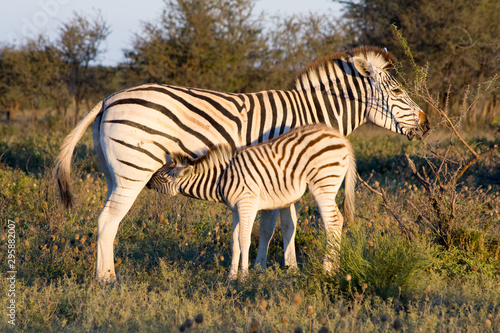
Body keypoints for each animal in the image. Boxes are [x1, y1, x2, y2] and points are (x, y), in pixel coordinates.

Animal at [152, 124, 356, 280]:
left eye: (162, 176)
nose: (147, 183)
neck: (221, 179)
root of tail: (341, 138)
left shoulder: (246, 204)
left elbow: (245, 240)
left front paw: (244, 277)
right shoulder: (235, 209)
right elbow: (234, 242)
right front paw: (231, 277)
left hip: (323, 184)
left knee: (333, 222)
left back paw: (327, 270)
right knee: (338, 220)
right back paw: (335, 268)